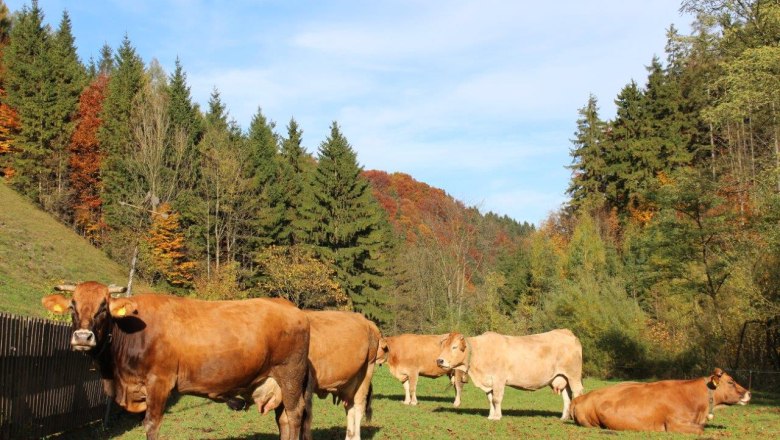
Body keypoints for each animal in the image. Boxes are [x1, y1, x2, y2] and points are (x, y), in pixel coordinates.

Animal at [42, 282, 310, 440]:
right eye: (73, 306)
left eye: (103, 307)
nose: (82, 337)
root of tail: (290, 307)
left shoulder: (159, 382)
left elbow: (151, 425)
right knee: (283, 418)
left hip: (290, 376)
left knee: (294, 414)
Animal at [436, 330, 580, 420]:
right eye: (443, 346)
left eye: (454, 347)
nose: (439, 360)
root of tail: (566, 332)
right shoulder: (489, 381)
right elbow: (490, 399)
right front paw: (491, 416)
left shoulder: (498, 379)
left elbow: (496, 399)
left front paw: (497, 417)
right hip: (562, 377)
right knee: (567, 397)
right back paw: (563, 418)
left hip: (574, 376)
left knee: (576, 393)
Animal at [568, 368, 752, 434]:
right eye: (731, 382)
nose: (749, 393)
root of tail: (582, 397)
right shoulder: (674, 424)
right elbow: (701, 429)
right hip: (590, 422)